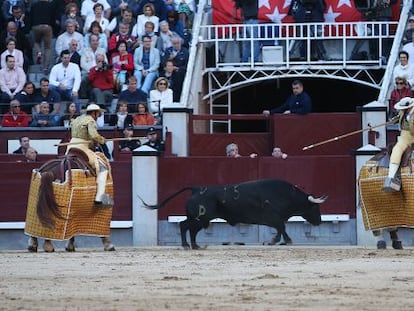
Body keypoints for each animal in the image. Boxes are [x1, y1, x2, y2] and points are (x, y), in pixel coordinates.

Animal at [141, 179, 328, 250]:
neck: (287, 195)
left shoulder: (274, 219)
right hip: (199, 218)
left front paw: (276, 241)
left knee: (191, 229)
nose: (319, 221)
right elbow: (281, 227)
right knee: (184, 225)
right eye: (315, 208)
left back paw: (195, 246)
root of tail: (196, 188)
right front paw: (281, 241)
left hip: (202, 219)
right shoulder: (273, 217)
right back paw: (187, 245)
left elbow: (281, 228)